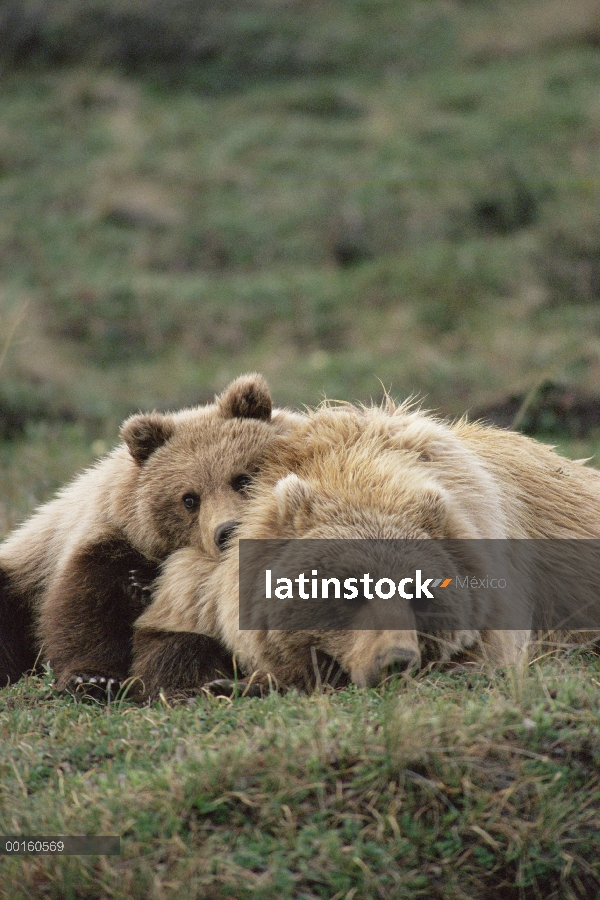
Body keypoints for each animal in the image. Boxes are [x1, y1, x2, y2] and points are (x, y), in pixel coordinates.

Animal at [0, 370, 298, 692]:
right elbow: (87, 610)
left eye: (241, 479)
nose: (226, 531)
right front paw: (93, 677)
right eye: (189, 499)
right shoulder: (107, 540)